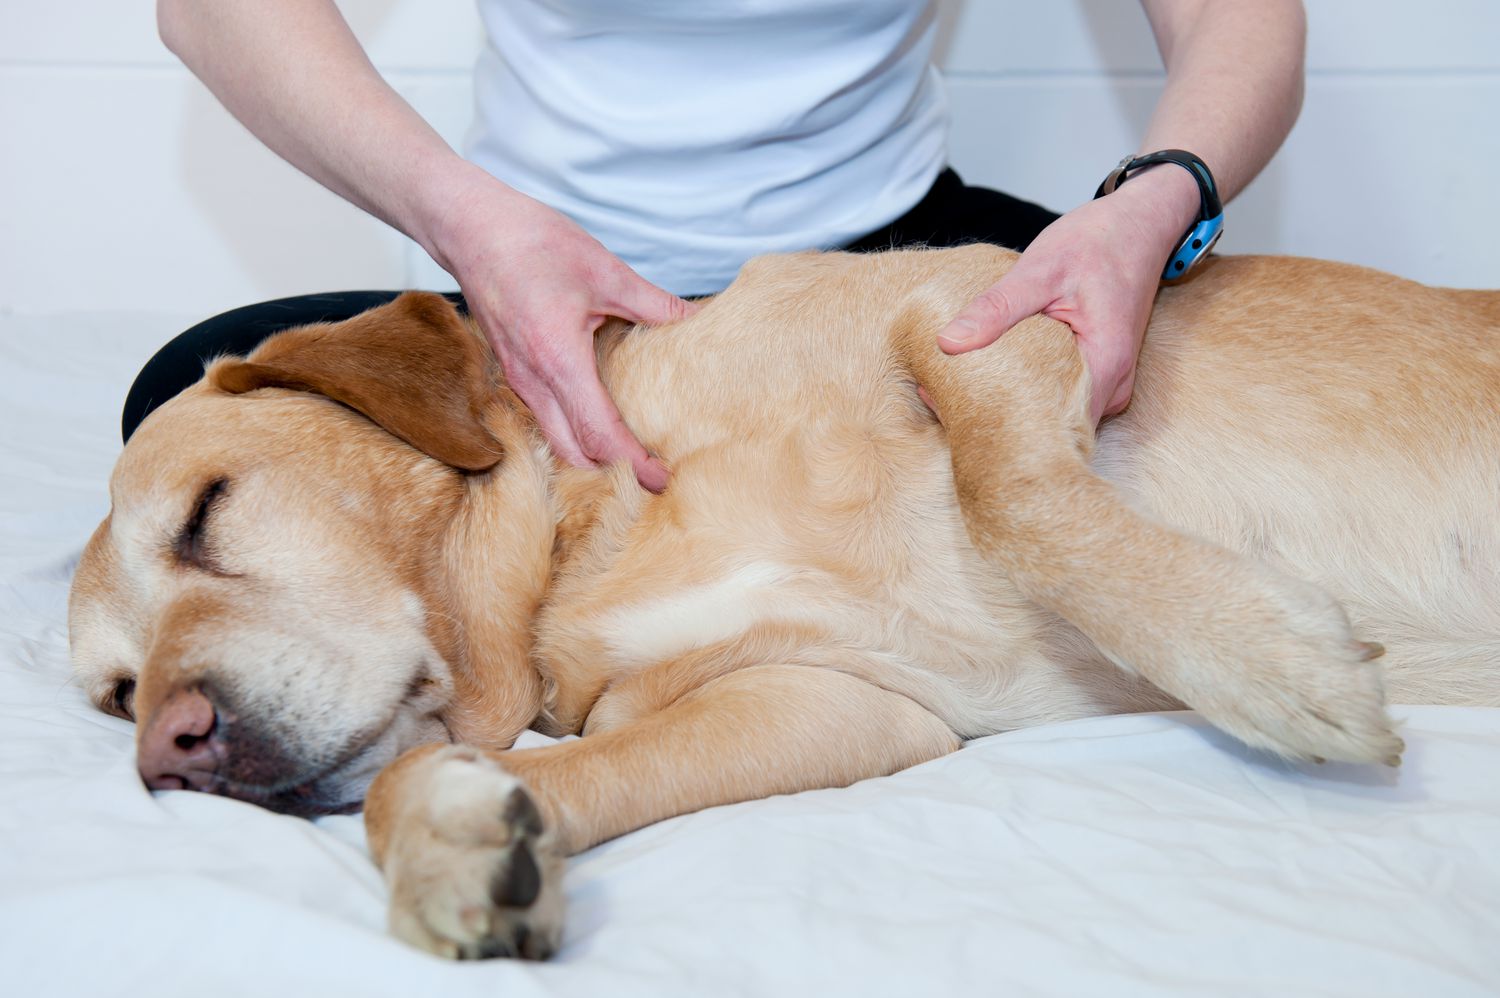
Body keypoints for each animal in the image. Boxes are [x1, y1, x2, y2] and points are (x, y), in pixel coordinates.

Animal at [70, 243, 1500, 960]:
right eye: (114, 694)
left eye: (205, 510)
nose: (169, 752)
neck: (593, 537)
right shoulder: (836, 704)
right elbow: (462, 778)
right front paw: (455, 847)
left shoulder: (975, 303)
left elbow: (1015, 495)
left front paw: (1268, 662)